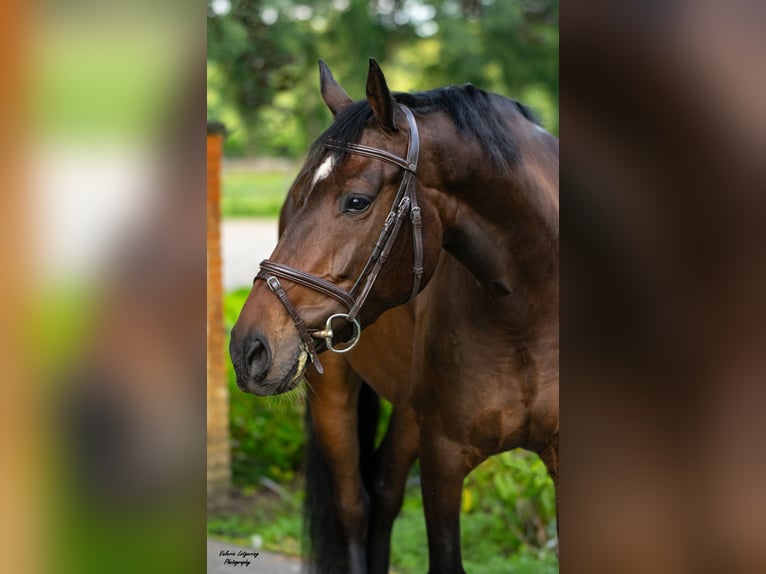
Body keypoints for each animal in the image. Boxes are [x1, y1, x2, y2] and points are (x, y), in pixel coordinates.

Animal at [231, 59, 560, 574]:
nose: (249, 349)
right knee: (355, 505)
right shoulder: (443, 458)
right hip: (335, 393)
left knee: (384, 494)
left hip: (408, 409)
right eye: (302, 194)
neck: (527, 312)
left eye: (357, 201)